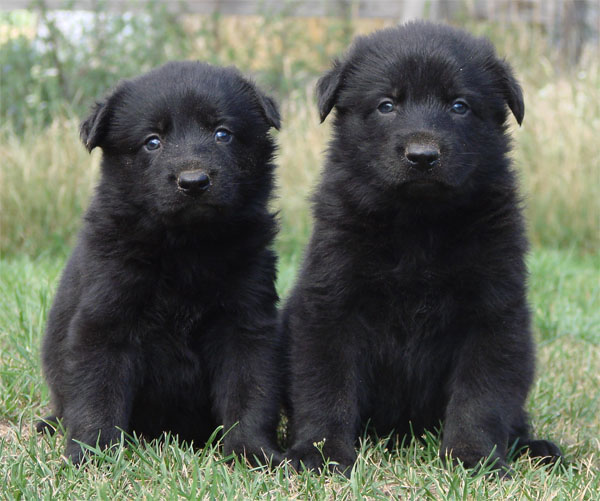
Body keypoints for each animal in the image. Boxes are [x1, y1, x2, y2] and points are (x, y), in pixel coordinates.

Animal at [39, 61, 284, 464]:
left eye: (222, 134)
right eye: (152, 142)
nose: (194, 181)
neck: (185, 249)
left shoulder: (246, 322)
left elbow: (250, 391)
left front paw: (252, 452)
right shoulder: (104, 320)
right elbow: (97, 395)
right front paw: (93, 454)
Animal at [282, 23, 564, 474]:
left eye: (459, 106)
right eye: (386, 105)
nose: (422, 156)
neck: (418, 225)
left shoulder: (494, 313)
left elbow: (480, 396)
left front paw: (472, 457)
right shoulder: (330, 306)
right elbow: (326, 386)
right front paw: (320, 453)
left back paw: (536, 447)